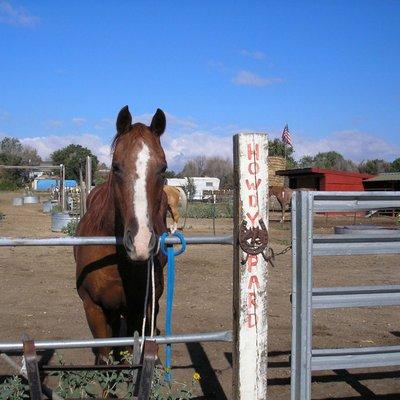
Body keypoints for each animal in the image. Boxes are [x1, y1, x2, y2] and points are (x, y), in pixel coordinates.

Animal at [74, 106, 168, 362]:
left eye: (163, 168)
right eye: (116, 166)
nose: (141, 243)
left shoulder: (139, 307)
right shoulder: (93, 308)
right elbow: (105, 357)